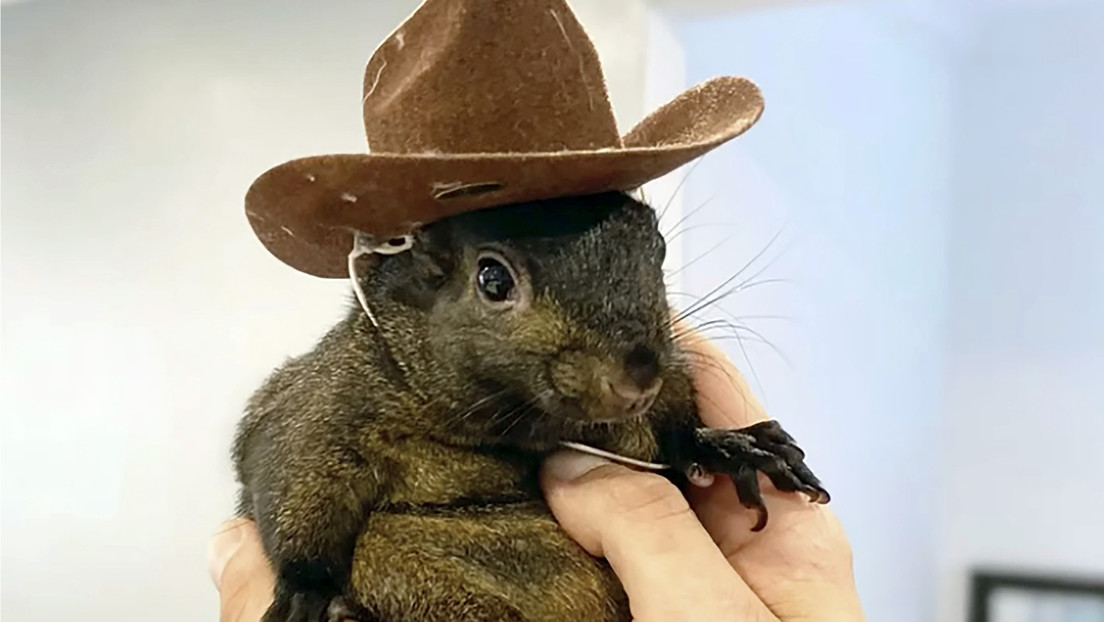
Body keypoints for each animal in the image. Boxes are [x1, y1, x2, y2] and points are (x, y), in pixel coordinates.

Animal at [232, 190, 829, 622]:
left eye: (657, 247)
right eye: (492, 278)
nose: (639, 375)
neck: (514, 424)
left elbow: (675, 431)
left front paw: (731, 446)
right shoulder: (324, 402)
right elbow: (291, 478)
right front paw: (307, 595)